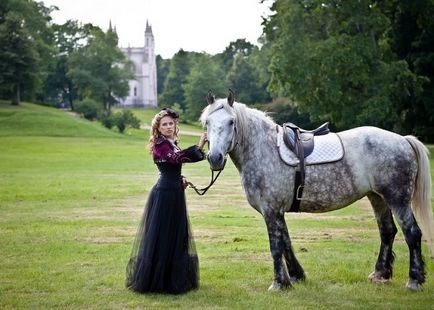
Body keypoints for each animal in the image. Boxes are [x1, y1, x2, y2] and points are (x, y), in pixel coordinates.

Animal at [201, 89, 434, 290]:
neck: (263, 149)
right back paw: (380, 273)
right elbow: (286, 242)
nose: (214, 158)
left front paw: (279, 283)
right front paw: (295, 276)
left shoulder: (271, 210)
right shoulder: (277, 211)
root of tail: (403, 140)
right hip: (377, 197)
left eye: (231, 122)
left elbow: (276, 245)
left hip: (398, 199)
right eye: (207, 123)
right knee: (387, 231)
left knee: (412, 233)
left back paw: (414, 280)